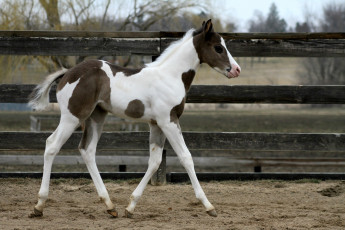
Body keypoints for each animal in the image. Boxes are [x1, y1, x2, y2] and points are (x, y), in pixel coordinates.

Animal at [28, 19, 239, 217]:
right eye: (218, 47)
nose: (236, 70)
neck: (171, 76)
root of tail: (68, 73)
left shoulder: (156, 124)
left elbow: (154, 162)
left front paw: (130, 207)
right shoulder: (168, 121)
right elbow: (186, 157)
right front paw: (209, 206)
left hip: (96, 117)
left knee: (87, 150)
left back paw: (110, 206)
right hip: (72, 117)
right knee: (52, 145)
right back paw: (39, 205)